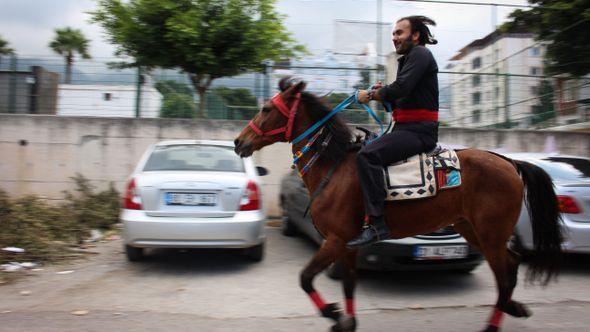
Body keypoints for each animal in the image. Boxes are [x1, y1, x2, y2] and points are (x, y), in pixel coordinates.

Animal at [234, 78, 560, 332]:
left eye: (266, 109)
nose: (239, 142)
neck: (333, 168)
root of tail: (511, 163)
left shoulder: (335, 240)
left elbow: (305, 278)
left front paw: (333, 314)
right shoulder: (346, 244)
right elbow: (349, 283)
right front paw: (347, 320)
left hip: (490, 235)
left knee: (504, 275)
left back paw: (494, 323)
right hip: (472, 230)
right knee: (512, 265)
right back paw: (513, 307)